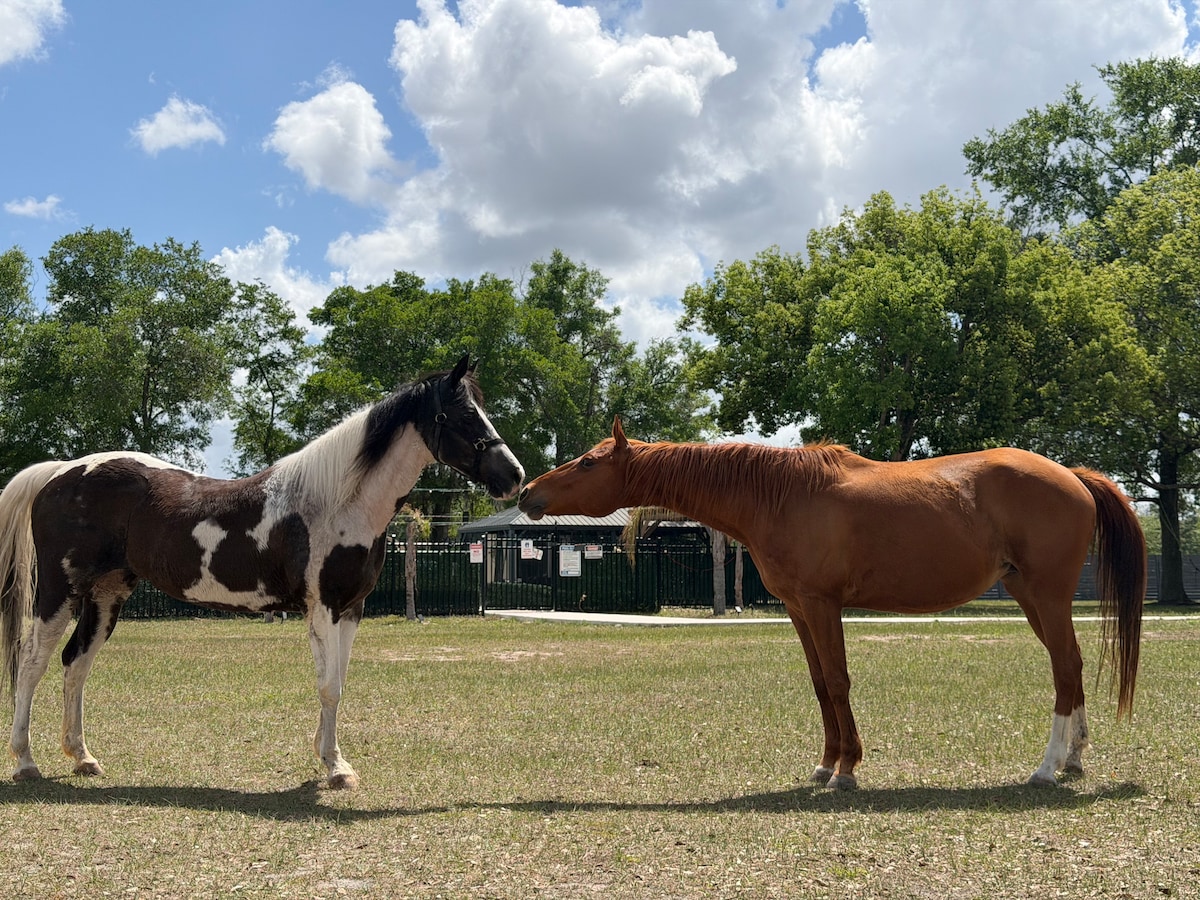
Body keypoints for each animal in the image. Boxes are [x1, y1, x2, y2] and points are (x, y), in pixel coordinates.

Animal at [0, 355, 524, 790]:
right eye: (461, 415)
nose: (514, 476)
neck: (338, 502)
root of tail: (61, 472)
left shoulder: (352, 610)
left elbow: (339, 684)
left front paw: (332, 759)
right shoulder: (323, 609)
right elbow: (328, 686)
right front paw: (336, 768)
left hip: (107, 594)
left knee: (76, 663)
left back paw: (83, 758)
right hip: (58, 592)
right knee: (32, 663)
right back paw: (26, 762)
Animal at [518, 418, 1145, 789]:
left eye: (589, 462)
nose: (526, 491)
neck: (781, 495)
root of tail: (1073, 476)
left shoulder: (823, 605)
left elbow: (840, 680)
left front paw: (847, 769)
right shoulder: (800, 609)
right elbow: (821, 683)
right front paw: (825, 764)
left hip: (1047, 596)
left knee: (1065, 669)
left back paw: (1046, 768)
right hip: (1030, 597)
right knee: (1072, 668)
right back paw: (1074, 759)